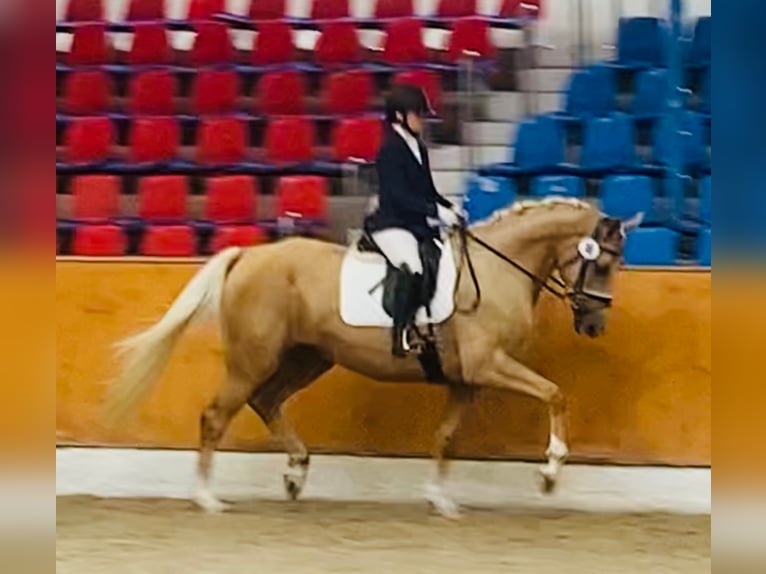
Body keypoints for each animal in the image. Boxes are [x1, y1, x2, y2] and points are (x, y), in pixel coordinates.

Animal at [105, 196, 644, 520]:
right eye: (605, 261)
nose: (594, 325)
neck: (496, 270)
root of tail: (249, 255)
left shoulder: (466, 379)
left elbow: (446, 436)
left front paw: (441, 500)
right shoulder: (489, 365)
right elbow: (555, 394)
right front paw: (550, 474)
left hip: (307, 357)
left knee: (267, 402)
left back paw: (295, 472)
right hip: (252, 359)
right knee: (217, 415)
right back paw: (208, 498)